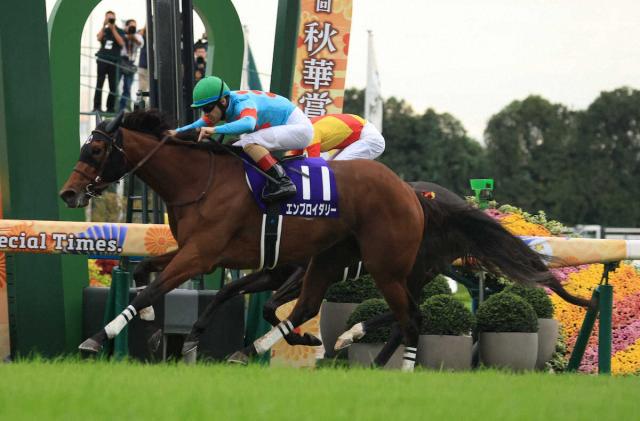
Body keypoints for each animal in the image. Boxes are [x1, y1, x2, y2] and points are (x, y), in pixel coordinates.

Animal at [60, 109, 427, 370]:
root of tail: (408, 191)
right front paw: (152, 324)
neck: (199, 182)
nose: (68, 193)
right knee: (311, 306)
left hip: (386, 268)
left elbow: (155, 288)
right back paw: (256, 349)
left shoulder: (201, 255)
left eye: (95, 149)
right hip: (331, 259)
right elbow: (144, 271)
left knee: (411, 318)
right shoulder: (197, 250)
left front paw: (97, 338)